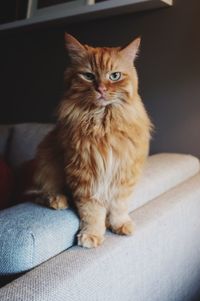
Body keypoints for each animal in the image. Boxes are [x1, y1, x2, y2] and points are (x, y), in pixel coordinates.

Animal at [33, 33, 152, 248]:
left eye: (115, 76)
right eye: (88, 76)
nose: (101, 89)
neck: (103, 122)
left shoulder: (123, 172)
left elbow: (119, 206)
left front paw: (119, 224)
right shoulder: (84, 173)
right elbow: (91, 212)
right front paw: (92, 234)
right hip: (46, 163)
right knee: (40, 193)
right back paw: (57, 200)